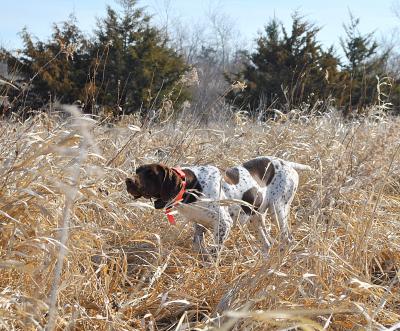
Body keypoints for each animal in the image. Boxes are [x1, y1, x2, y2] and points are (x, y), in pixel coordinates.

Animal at [125, 157, 310, 258]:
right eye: (137, 170)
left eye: (151, 174)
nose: (128, 181)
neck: (193, 184)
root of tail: (287, 163)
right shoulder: (200, 223)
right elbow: (198, 245)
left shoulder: (223, 223)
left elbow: (215, 252)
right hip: (255, 217)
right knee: (267, 243)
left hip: (278, 210)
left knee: (287, 239)